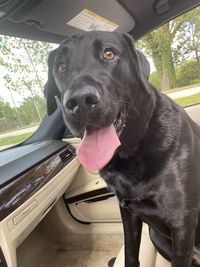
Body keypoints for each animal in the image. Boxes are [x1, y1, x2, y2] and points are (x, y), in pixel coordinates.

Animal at [45, 30, 200, 266]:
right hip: (155, 235)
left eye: (109, 54)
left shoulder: (182, 223)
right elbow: (130, 254)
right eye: (61, 66)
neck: (132, 151)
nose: (79, 100)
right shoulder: (127, 211)